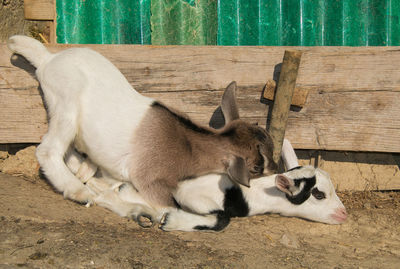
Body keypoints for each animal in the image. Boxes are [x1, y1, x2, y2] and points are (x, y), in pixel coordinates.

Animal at [10, 34, 278, 208]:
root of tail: (47, 60)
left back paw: (84, 170)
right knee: (47, 150)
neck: (188, 144)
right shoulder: (150, 179)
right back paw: (78, 191)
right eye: (256, 166)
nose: (277, 169)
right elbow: (168, 205)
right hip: (65, 106)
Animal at [65, 138, 346, 230]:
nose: (343, 214)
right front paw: (172, 221)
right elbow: (221, 220)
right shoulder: (191, 194)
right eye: (318, 194)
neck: (251, 194)